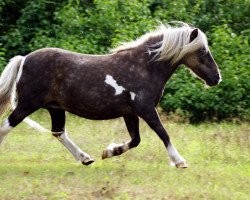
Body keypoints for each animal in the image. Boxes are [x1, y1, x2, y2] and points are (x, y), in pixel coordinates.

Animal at [0, 22, 221, 168]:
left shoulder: (130, 113)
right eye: (202, 51)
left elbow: (135, 140)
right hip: (28, 104)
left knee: (58, 132)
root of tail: (24, 59)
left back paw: (86, 158)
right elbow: (162, 132)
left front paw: (109, 152)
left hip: (55, 108)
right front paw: (179, 161)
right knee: (6, 126)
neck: (144, 67)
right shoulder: (146, 109)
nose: (216, 78)